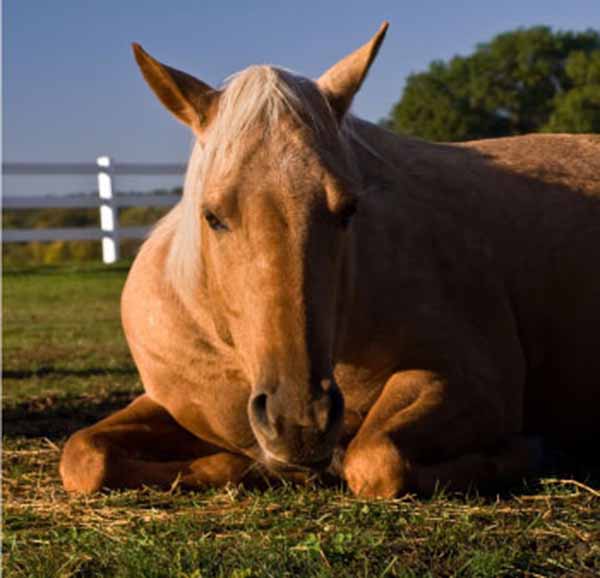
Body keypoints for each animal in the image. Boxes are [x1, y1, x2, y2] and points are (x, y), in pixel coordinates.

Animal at [59, 23, 600, 496]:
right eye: (212, 215)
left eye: (348, 210)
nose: (299, 421)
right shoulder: (170, 404)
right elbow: (84, 456)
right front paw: (236, 465)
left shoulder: (475, 383)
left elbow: (376, 459)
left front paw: (524, 452)